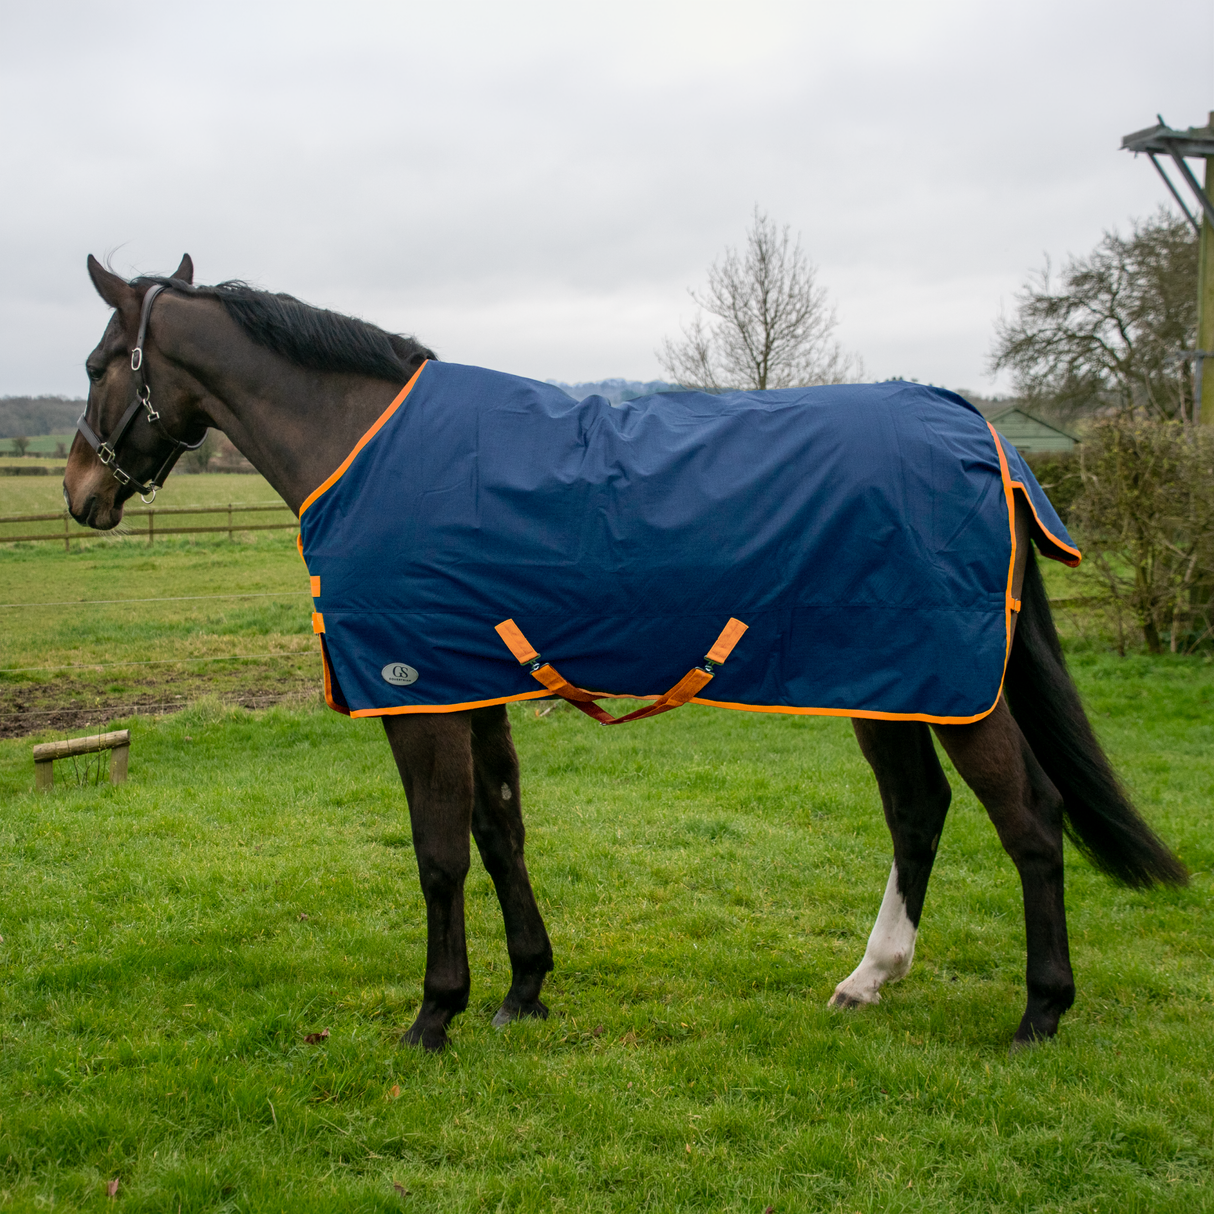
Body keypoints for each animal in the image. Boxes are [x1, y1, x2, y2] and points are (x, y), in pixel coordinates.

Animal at [64, 254, 1188, 1054]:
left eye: (95, 364)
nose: (81, 490)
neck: (368, 447)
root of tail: (976, 428)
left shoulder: (417, 694)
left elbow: (437, 853)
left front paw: (434, 1014)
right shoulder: (475, 684)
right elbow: (498, 832)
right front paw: (522, 987)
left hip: (953, 685)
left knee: (1028, 818)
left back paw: (1040, 1011)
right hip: (894, 682)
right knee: (918, 812)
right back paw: (869, 978)